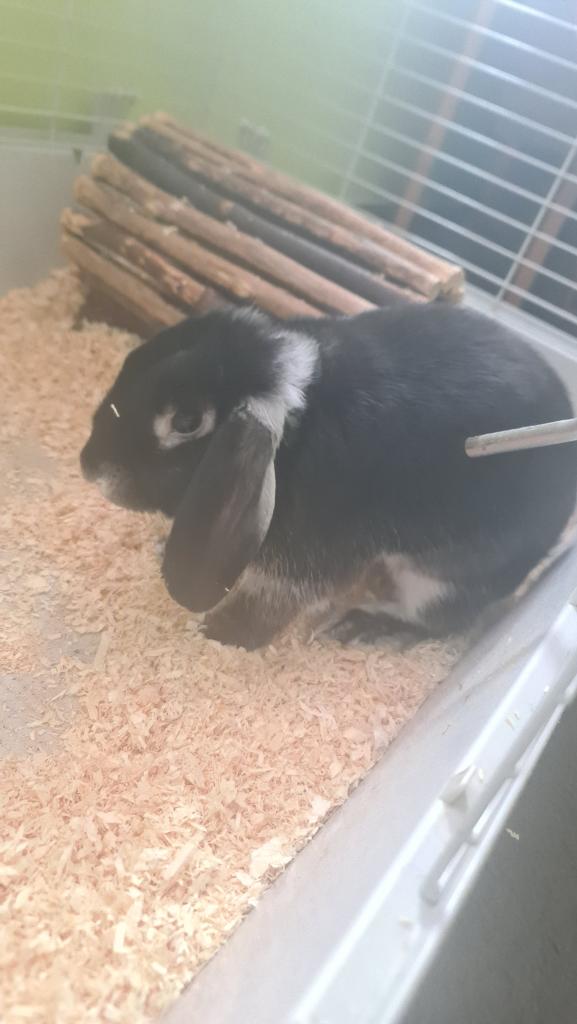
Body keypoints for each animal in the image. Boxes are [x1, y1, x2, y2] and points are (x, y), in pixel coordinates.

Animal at [80, 303, 577, 650]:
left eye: (186, 421)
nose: (88, 466)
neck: (297, 429)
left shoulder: (301, 567)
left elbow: (266, 607)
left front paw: (219, 636)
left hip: (439, 579)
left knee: (444, 619)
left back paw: (365, 625)